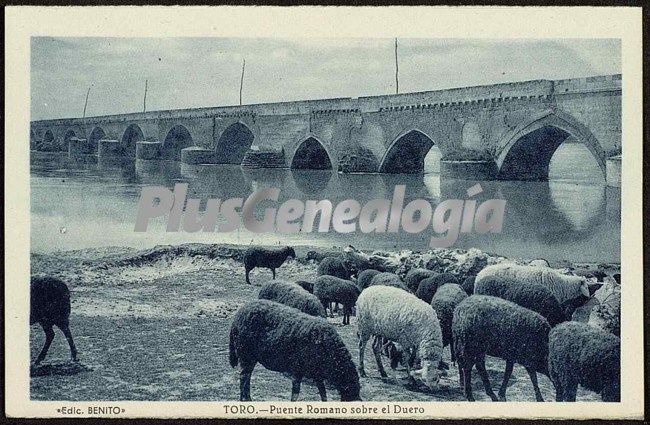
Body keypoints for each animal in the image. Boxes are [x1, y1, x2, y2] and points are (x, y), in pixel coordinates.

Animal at [228, 298, 360, 400]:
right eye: (350, 390)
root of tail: (237, 317)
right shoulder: (297, 369)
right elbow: (295, 395)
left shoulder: (317, 373)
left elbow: (323, 394)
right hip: (246, 355)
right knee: (244, 377)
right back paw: (246, 399)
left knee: (246, 377)